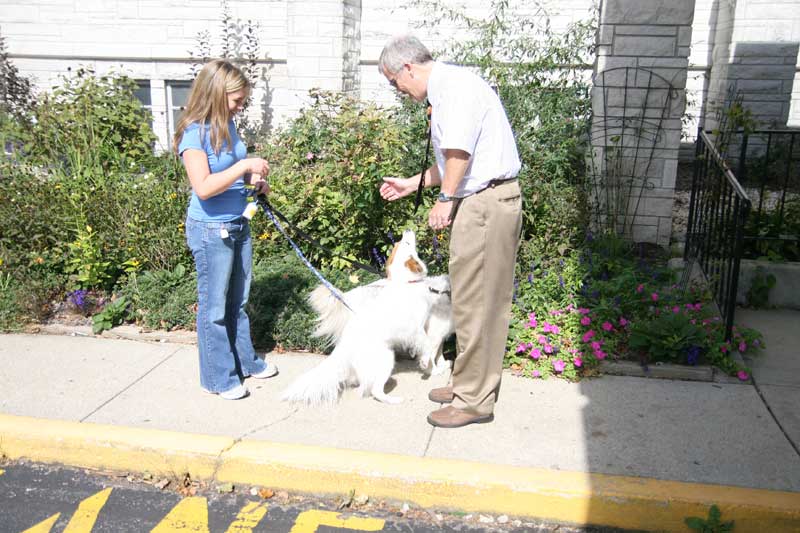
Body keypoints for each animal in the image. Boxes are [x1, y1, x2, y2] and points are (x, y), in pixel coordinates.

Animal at [282, 231, 454, 406]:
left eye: (398, 244)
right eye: (405, 243)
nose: (407, 231)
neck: (405, 283)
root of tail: (345, 344)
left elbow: (437, 352)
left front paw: (439, 366)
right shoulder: (418, 330)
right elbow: (428, 348)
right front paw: (429, 366)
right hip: (386, 359)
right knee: (374, 390)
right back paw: (393, 399)